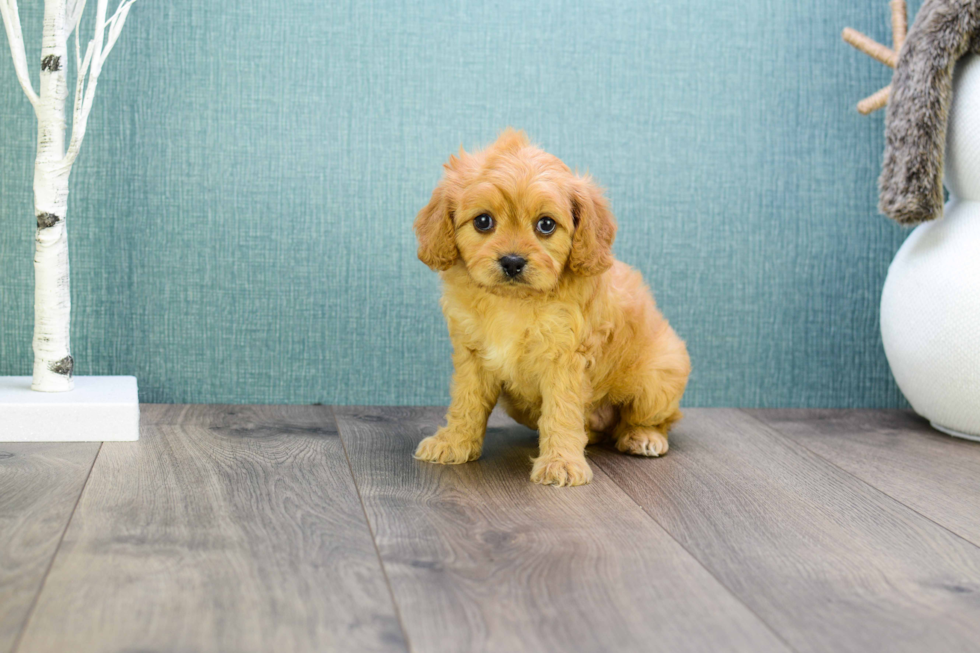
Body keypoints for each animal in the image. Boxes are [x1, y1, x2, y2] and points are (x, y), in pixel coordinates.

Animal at [412, 129, 688, 484]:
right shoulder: (471, 354)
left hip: (661, 374)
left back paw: (644, 436)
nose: (512, 262)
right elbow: (466, 401)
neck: (514, 301)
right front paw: (454, 442)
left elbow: (561, 411)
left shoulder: (564, 358)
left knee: (653, 417)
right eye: (483, 221)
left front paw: (562, 462)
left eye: (546, 225)